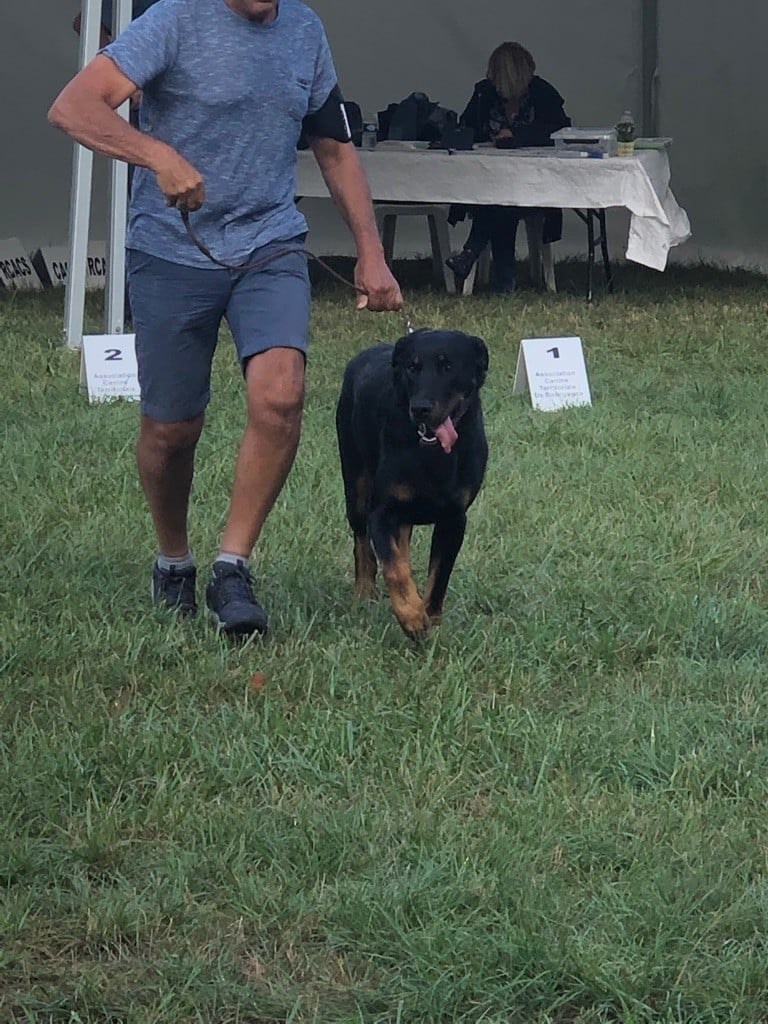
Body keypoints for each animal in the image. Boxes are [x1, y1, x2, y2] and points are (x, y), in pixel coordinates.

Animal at [335, 325, 487, 638]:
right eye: (411, 368)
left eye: (448, 366)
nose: (420, 408)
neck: (431, 454)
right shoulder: (382, 511)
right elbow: (394, 567)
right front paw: (412, 617)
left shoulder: (454, 518)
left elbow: (440, 576)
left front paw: (430, 618)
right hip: (355, 483)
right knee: (363, 542)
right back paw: (364, 591)